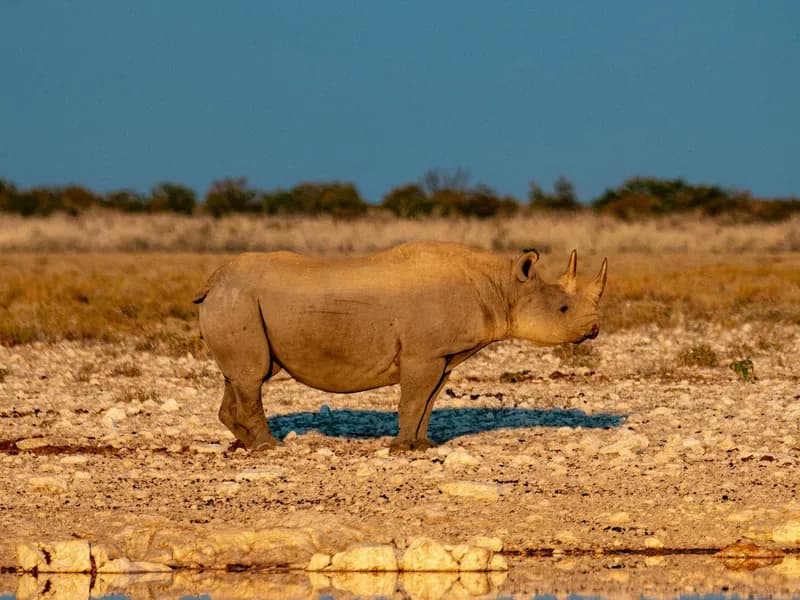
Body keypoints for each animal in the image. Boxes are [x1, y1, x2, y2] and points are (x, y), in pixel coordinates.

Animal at [194, 241, 607, 452]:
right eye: (563, 308)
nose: (594, 330)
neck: (502, 287)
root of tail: (212, 281)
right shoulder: (422, 354)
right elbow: (412, 400)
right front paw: (399, 449)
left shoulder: (443, 355)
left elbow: (428, 401)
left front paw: (422, 446)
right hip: (238, 300)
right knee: (252, 377)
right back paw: (270, 448)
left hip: (237, 302)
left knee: (240, 376)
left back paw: (246, 444)